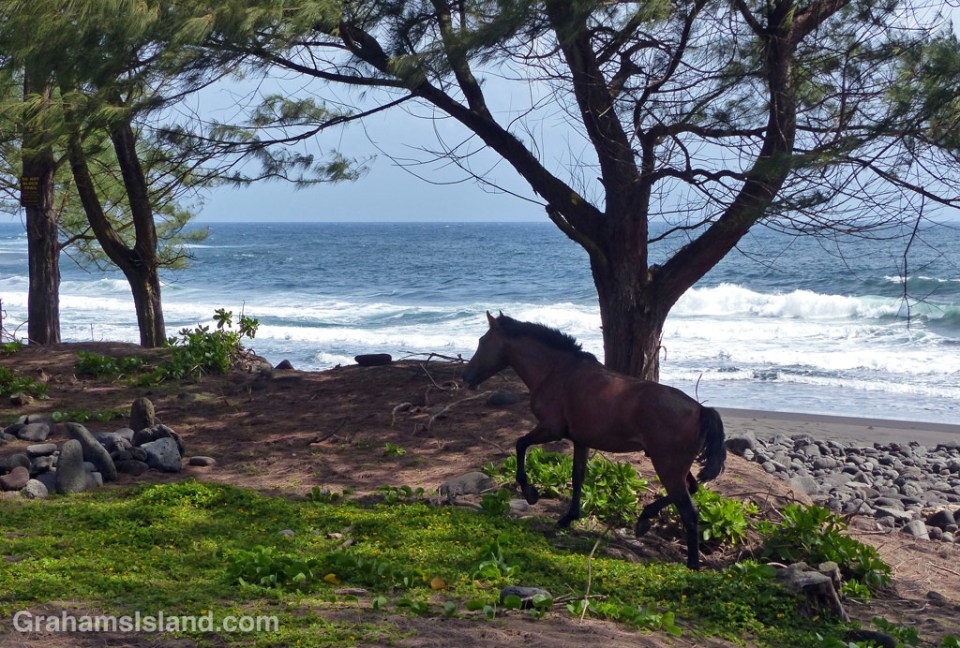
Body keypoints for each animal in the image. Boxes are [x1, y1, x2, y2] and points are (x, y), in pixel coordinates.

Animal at [461, 311, 726, 569]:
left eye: (482, 341)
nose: (466, 377)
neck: (557, 371)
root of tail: (701, 410)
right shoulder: (581, 440)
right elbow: (577, 476)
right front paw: (569, 516)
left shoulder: (550, 429)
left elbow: (520, 445)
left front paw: (530, 492)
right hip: (673, 466)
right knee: (693, 488)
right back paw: (644, 520)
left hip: (667, 467)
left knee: (689, 512)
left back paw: (692, 564)